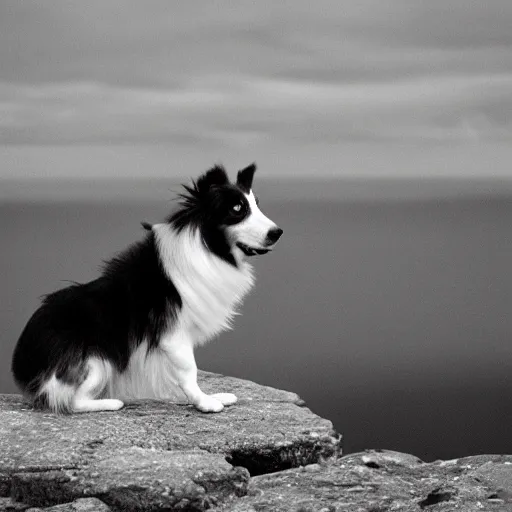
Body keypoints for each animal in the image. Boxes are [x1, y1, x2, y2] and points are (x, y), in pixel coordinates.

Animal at [12, 164, 282, 412]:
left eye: (256, 205)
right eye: (237, 209)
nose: (278, 232)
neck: (206, 246)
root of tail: (23, 361)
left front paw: (212, 396)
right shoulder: (173, 336)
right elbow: (189, 370)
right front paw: (204, 402)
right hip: (97, 364)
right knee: (72, 402)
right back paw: (111, 403)